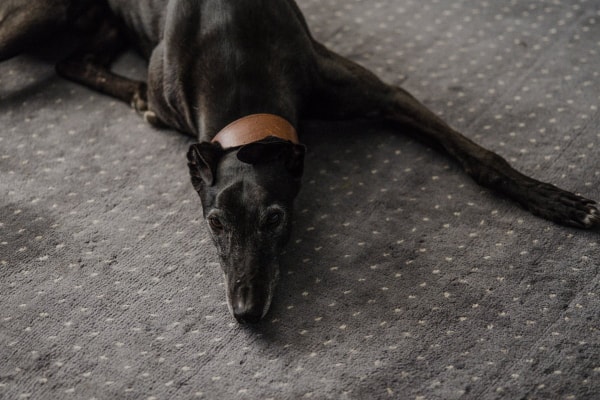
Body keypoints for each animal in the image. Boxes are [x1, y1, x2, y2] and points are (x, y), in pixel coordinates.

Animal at [2, 0, 596, 324]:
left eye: (275, 219)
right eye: (213, 223)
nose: (246, 313)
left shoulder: (384, 95)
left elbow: (479, 156)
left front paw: (557, 200)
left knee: (72, 60)